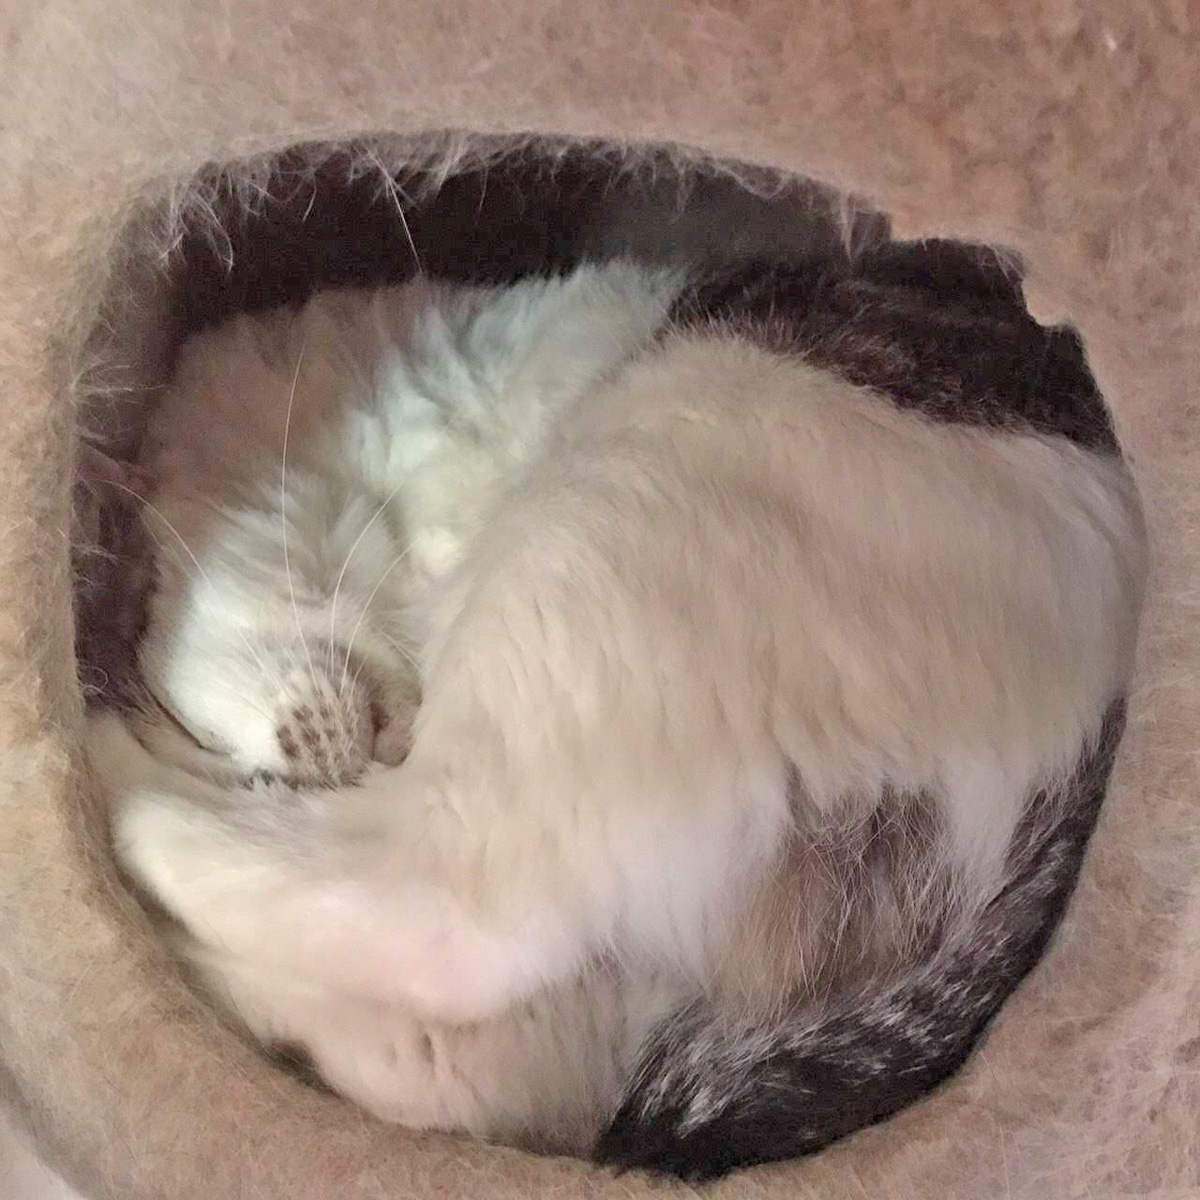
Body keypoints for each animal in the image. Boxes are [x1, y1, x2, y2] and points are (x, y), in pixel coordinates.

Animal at [83, 243, 1146, 1179]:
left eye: (190, 718)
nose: (276, 776)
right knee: (476, 1061)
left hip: (626, 504)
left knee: (433, 907)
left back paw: (109, 783)